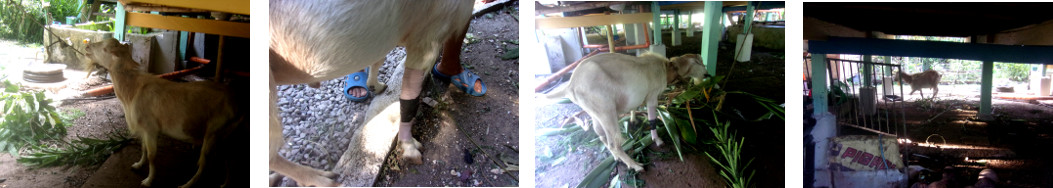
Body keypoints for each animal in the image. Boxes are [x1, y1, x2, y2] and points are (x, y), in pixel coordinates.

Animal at [84, 37, 242, 186]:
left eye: (105, 49)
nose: (87, 47)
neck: (133, 89)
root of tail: (236, 105)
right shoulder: (144, 129)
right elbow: (144, 149)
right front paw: (138, 165)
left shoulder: (151, 128)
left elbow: (152, 156)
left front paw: (148, 180)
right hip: (225, 136)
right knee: (229, 160)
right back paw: (225, 184)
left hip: (213, 132)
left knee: (205, 164)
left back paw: (186, 185)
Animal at [267, 0, 473, 185]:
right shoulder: (428, 35)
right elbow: (410, 100)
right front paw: (410, 148)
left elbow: (378, 60)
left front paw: (376, 85)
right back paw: (320, 178)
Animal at [543, 52, 707, 172]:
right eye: (697, 62)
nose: (706, 74)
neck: (665, 68)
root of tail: (570, 86)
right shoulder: (652, 95)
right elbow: (652, 119)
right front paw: (657, 140)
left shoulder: (638, 97)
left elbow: (635, 107)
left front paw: (633, 120)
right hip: (606, 110)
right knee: (614, 142)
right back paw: (635, 166)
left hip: (594, 111)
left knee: (600, 134)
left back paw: (615, 157)